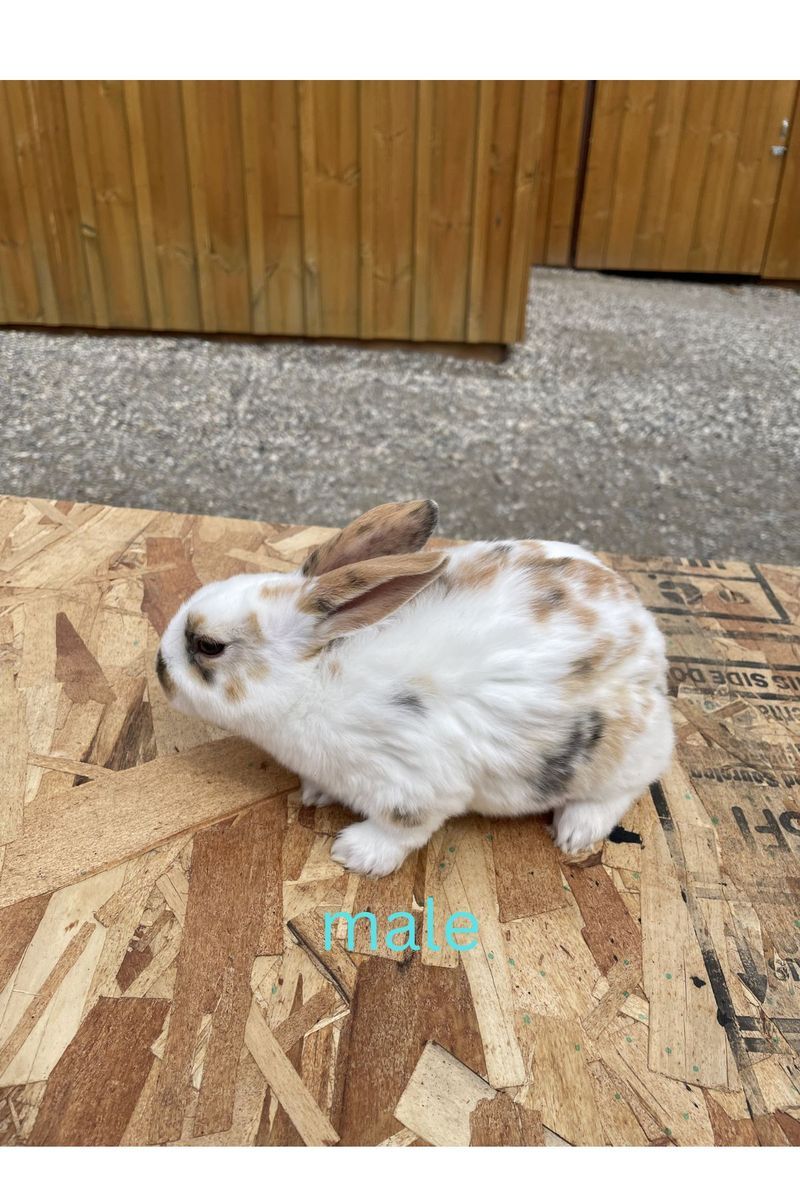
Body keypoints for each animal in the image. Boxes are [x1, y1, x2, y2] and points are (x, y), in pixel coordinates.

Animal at [156, 499, 674, 876]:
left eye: (208, 646)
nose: (159, 669)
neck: (311, 680)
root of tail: (650, 643)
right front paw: (314, 795)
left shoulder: (414, 786)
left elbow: (403, 830)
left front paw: (356, 854)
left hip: (613, 755)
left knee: (626, 788)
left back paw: (574, 831)